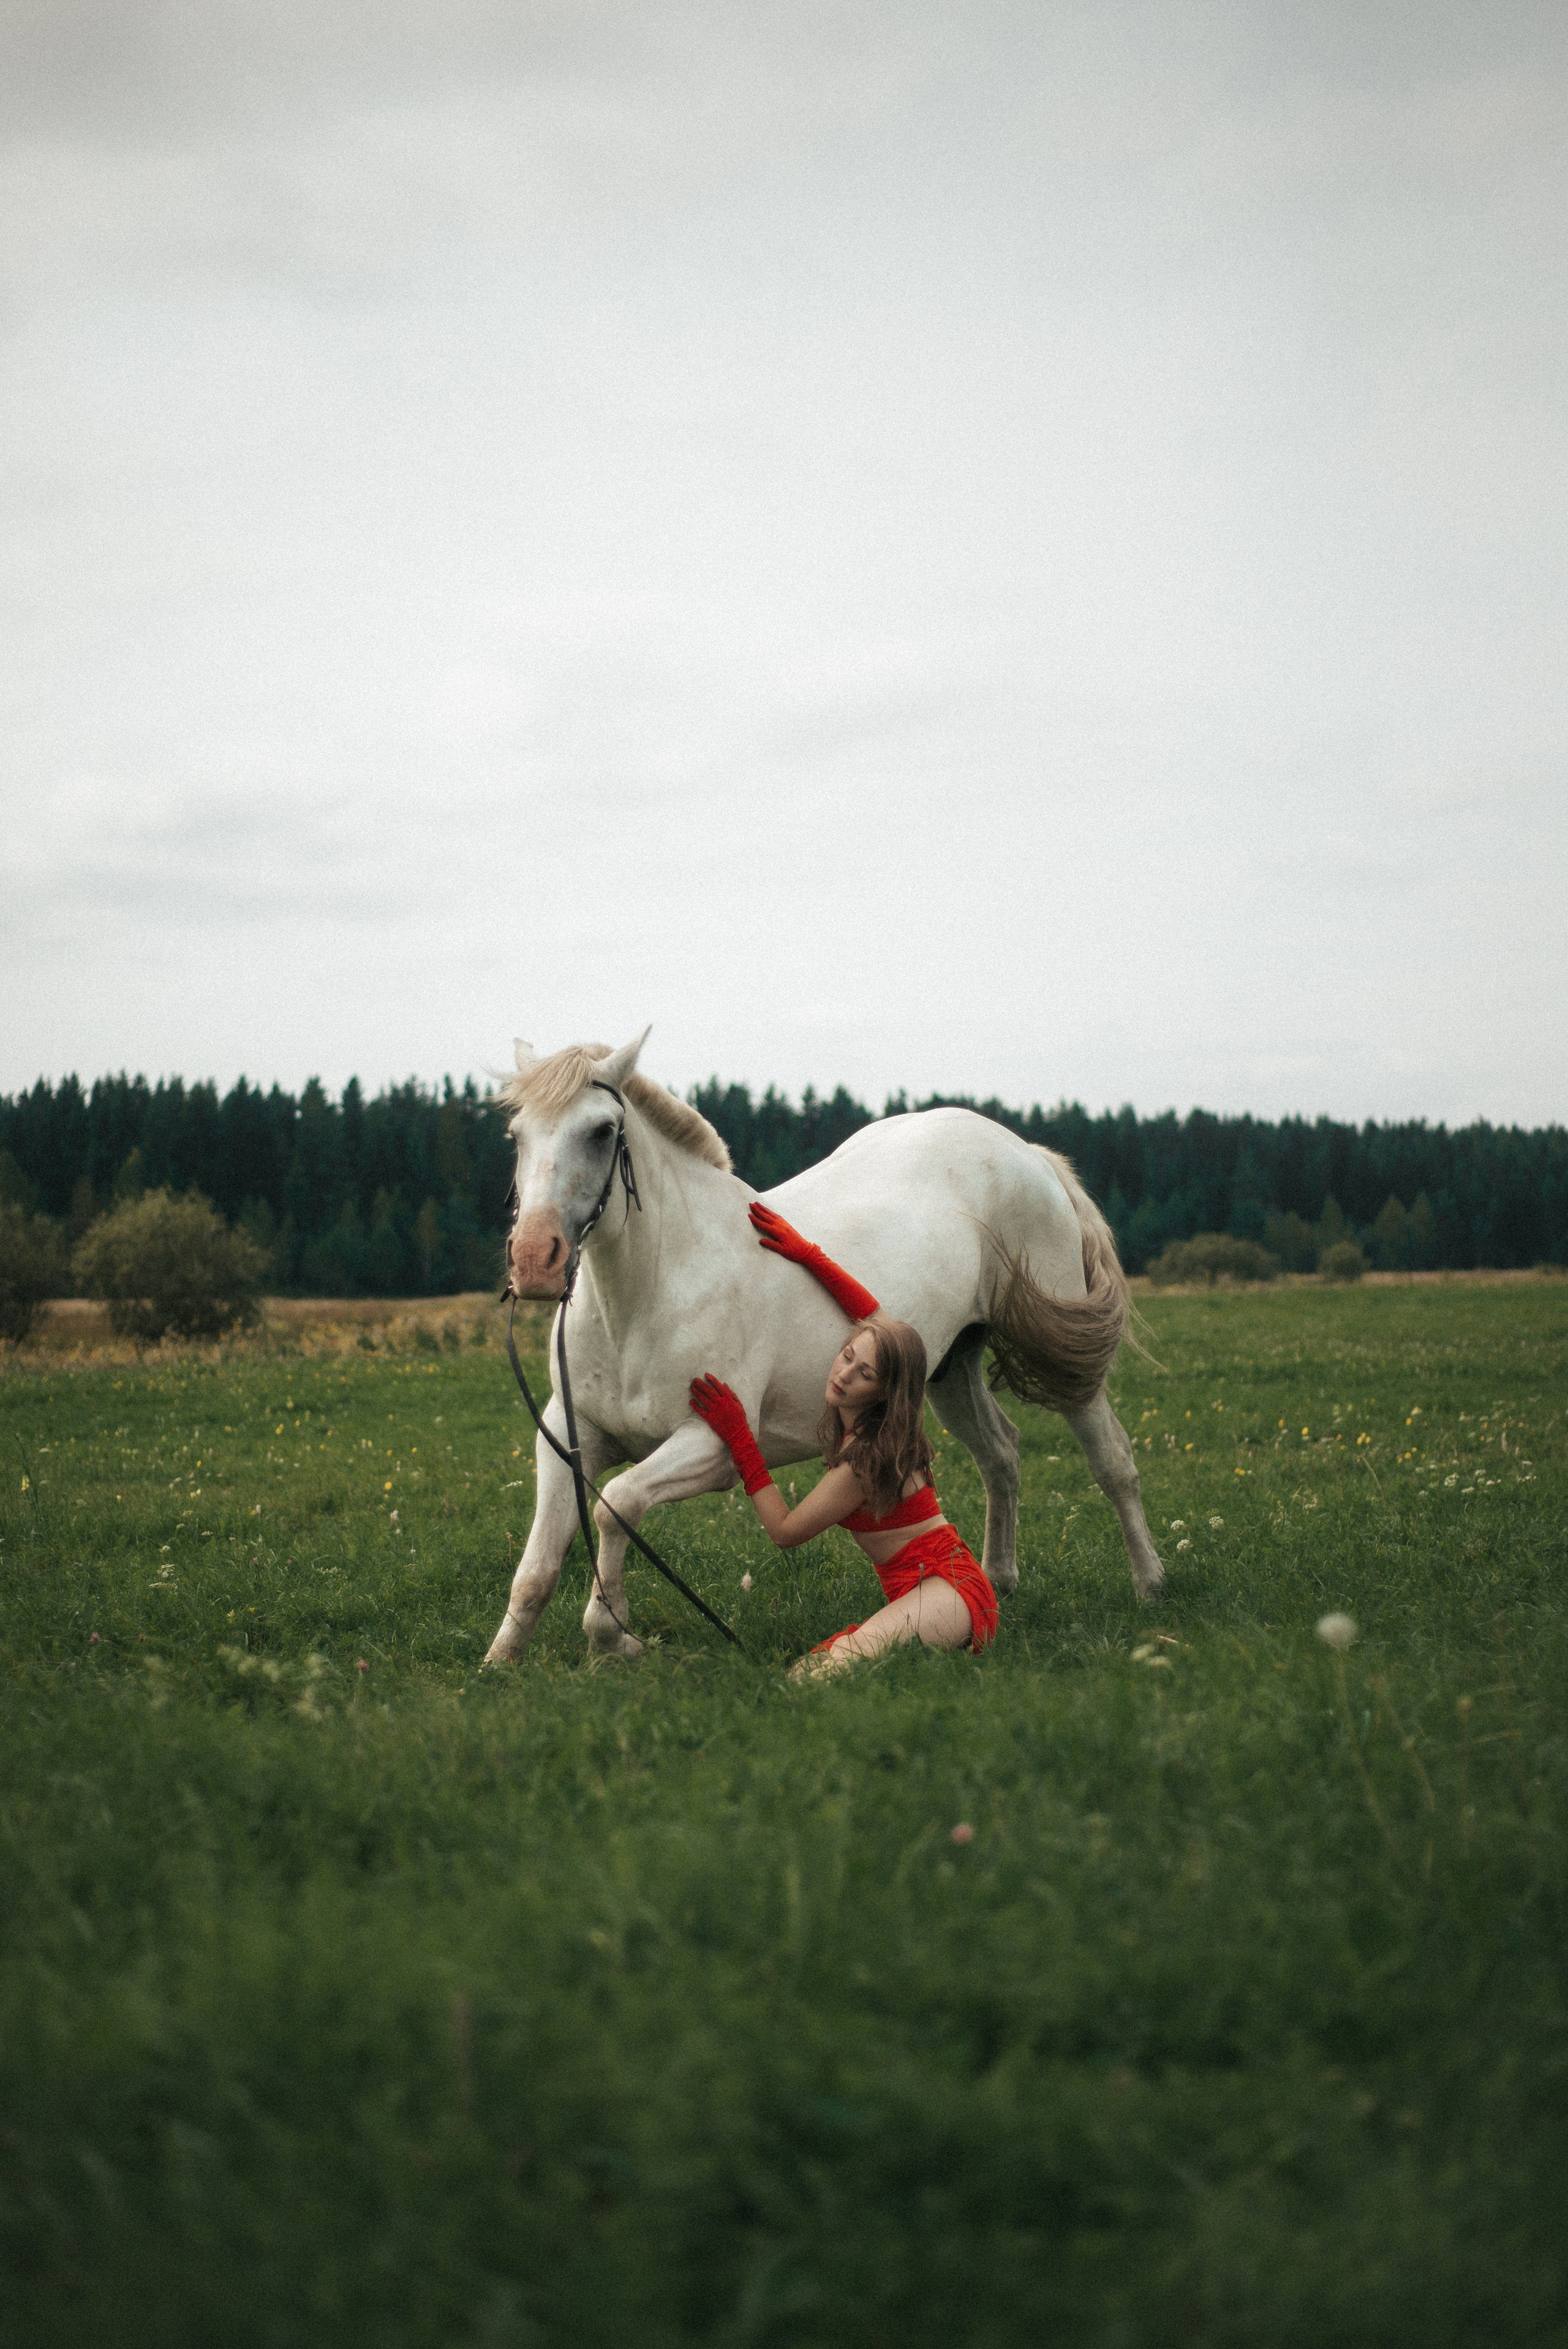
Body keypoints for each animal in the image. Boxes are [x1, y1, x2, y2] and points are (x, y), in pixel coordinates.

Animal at [483, 1030, 1164, 1666]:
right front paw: (500, 1663)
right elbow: (537, 1568)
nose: (534, 1261)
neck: (652, 1289)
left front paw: (616, 1637)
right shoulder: (569, 1436)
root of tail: (1027, 1153)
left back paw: (1150, 1584)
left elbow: (615, 1506)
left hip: (1063, 1355)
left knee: (1112, 1459)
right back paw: (1001, 1583)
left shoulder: (710, 1446)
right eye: (516, 1134)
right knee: (1001, 1455)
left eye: (601, 1131)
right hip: (950, 1368)